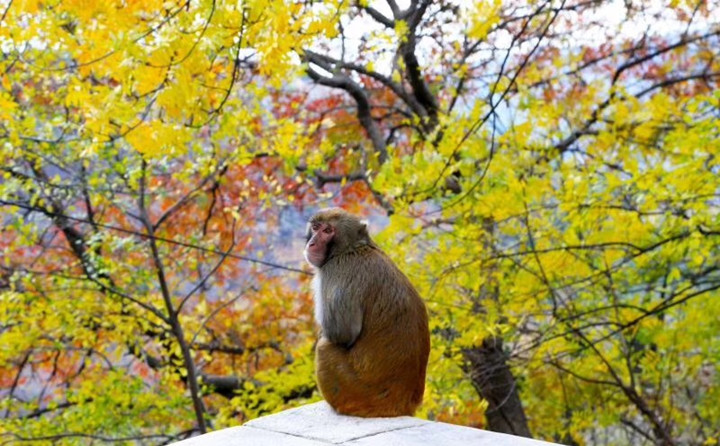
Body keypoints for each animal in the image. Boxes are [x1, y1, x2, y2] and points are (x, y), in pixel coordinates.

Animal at [302, 207, 428, 416]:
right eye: (315, 227)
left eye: (328, 231)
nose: (312, 243)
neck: (353, 248)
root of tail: (402, 405)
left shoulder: (336, 269)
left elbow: (342, 332)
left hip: (357, 394)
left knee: (324, 347)